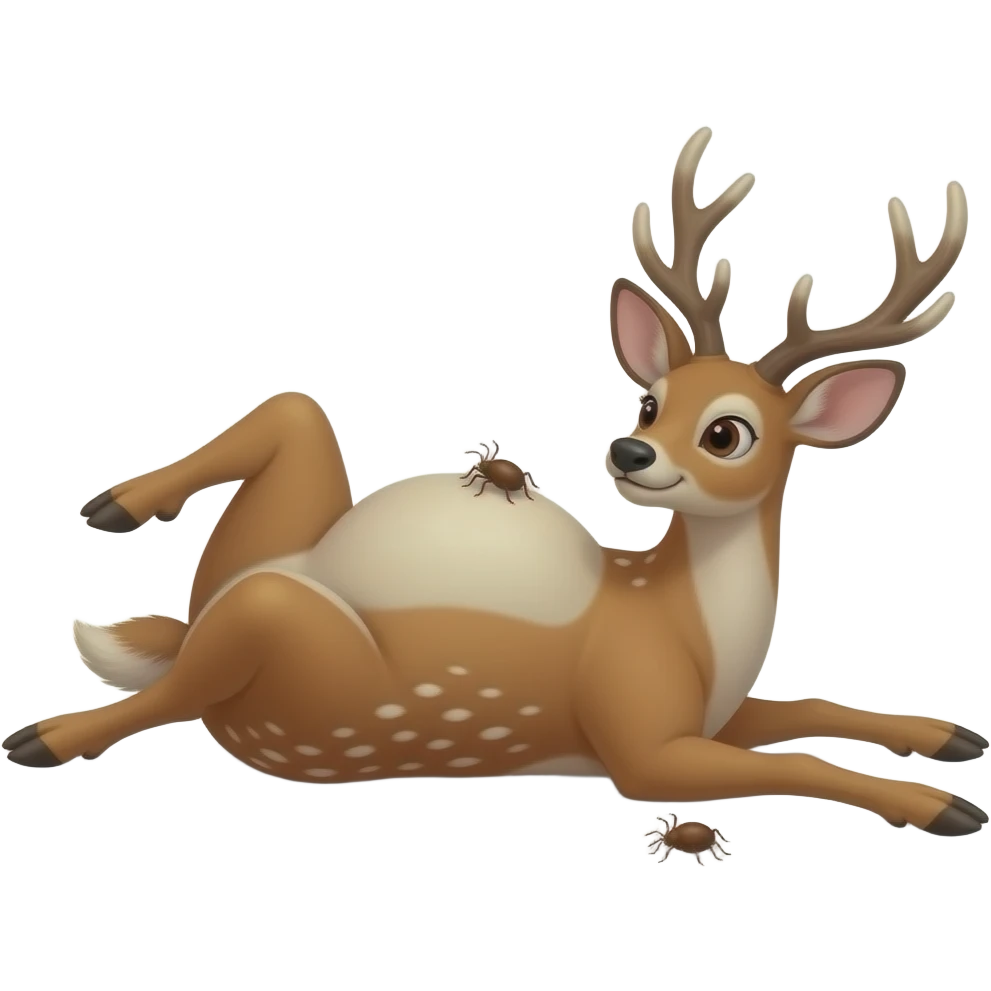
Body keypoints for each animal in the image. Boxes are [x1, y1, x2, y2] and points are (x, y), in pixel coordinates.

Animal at [5, 127, 985, 836]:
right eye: (650, 398)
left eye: (726, 431)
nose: (629, 454)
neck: (688, 630)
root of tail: (204, 613)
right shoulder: (639, 742)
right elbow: (794, 760)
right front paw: (942, 805)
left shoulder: (710, 715)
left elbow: (810, 702)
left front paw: (949, 736)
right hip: (267, 626)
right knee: (189, 665)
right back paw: (47, 721)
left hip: (253, 559)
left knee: (296, 411)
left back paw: (114, 511)